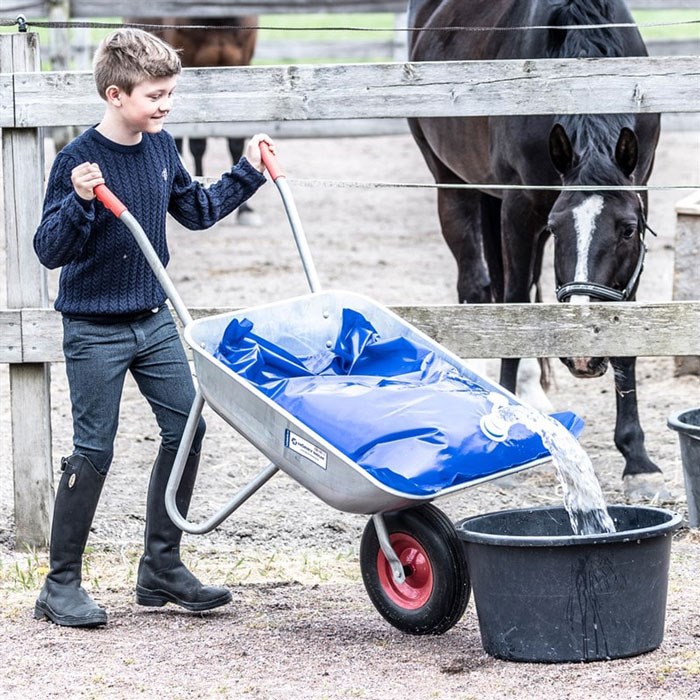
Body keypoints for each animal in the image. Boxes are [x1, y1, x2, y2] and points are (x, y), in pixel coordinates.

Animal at [408, 0, 664, 498]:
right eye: (556, 226)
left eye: (628, 230)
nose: (583, 354)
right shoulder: (522, 207)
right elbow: (514, 303)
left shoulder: (640, 185)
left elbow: (626, 328)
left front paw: (638, 461)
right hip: (451, 183)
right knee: (481, 286)